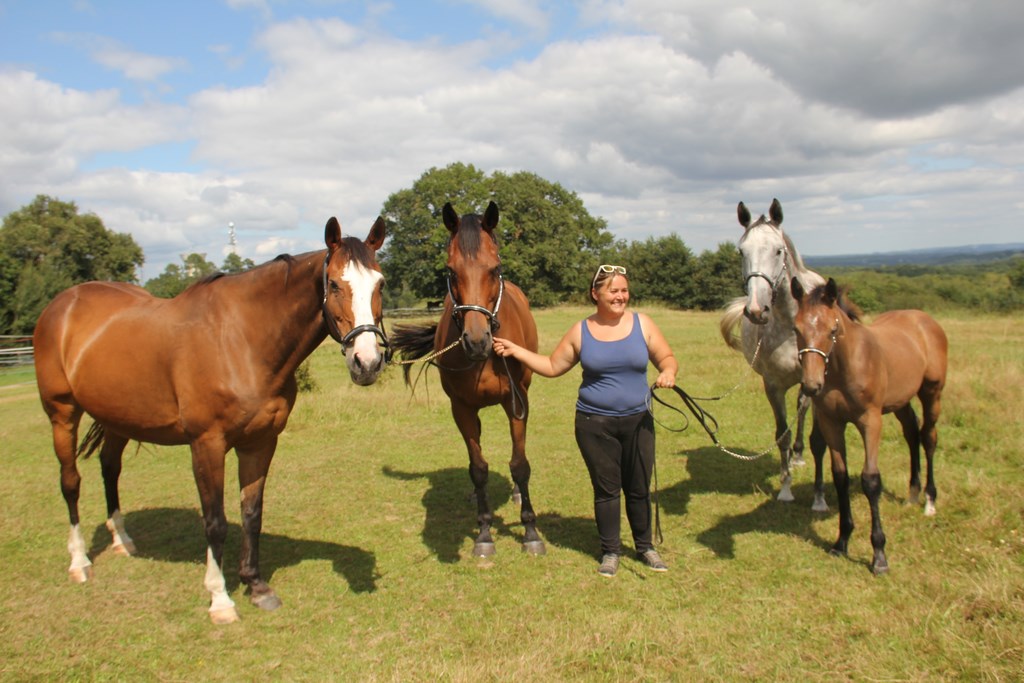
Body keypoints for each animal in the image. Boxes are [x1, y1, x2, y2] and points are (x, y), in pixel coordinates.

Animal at [34, 216, 387, 622]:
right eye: (333, 284)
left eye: (380, 283)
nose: (367, 363)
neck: (241, 340)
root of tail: (63, 304)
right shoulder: (207, 445)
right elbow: (215, 522)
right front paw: (220, 598)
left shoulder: (259, 443)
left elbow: (251, 513)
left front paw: (256, 585)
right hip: (62, 414)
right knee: (71, 482)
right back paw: (79, 561)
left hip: (117, 418)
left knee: (110, 469)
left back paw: (122, 541)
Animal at [724, 200, 827, 509]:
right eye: (741, 251)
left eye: (778, 250)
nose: (757, 310)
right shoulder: (772, 385)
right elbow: (782, 435)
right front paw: (785, 488)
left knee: (803, 408)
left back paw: (799, 455)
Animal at [786, 278, 946, 577]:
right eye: (796, 328)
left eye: (833, 329)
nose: (812, 385)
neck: (844, 367)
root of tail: (924, 319)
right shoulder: (832, 422)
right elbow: (840, 476)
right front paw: (841, 541)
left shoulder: (870, 421)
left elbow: (870, 480)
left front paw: (879, 555)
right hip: (900, 401)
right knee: (912, 432)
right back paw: (913, 492)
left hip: (932, 392)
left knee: (928, 437)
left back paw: (929, 501)